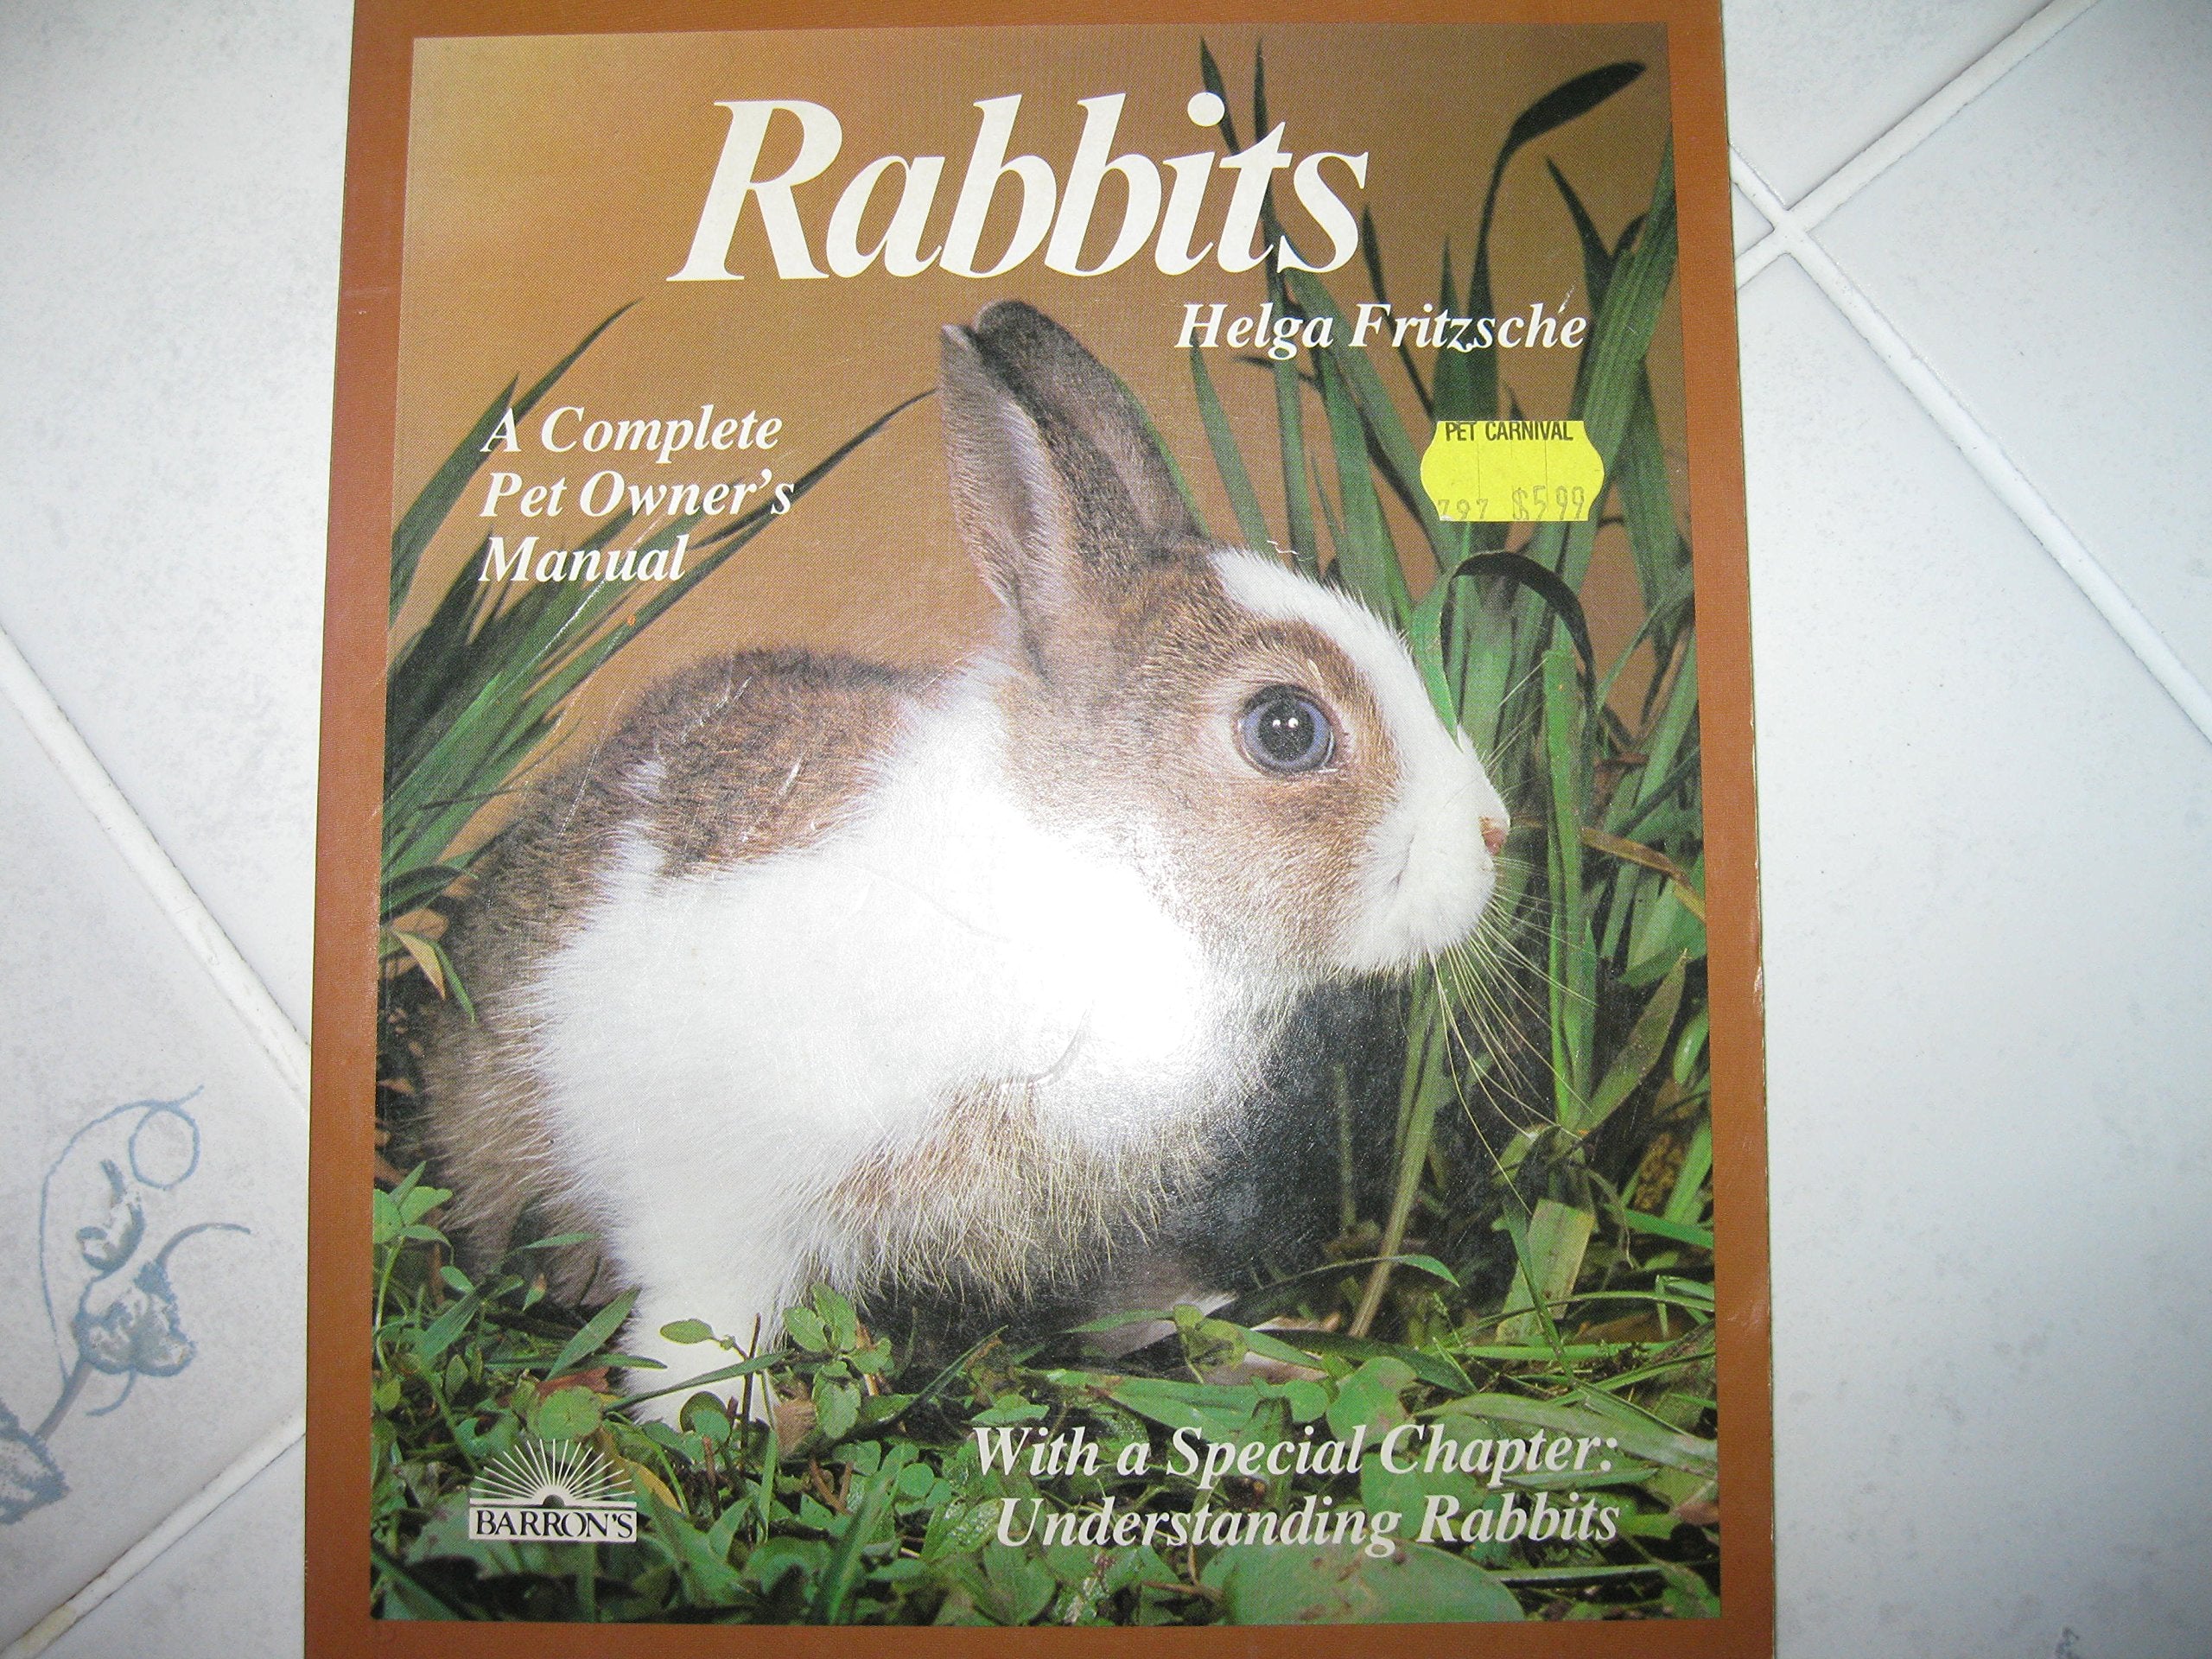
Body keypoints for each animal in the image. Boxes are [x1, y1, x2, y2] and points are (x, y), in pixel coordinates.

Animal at [420, 299, 1510, 1421]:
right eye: (1287, 729)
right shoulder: (721, 1202)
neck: (1100, 866)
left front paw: (1256, 1354)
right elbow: (703, 1325)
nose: (1495, 834)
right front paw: (719, 1425)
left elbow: (1149, 1298)